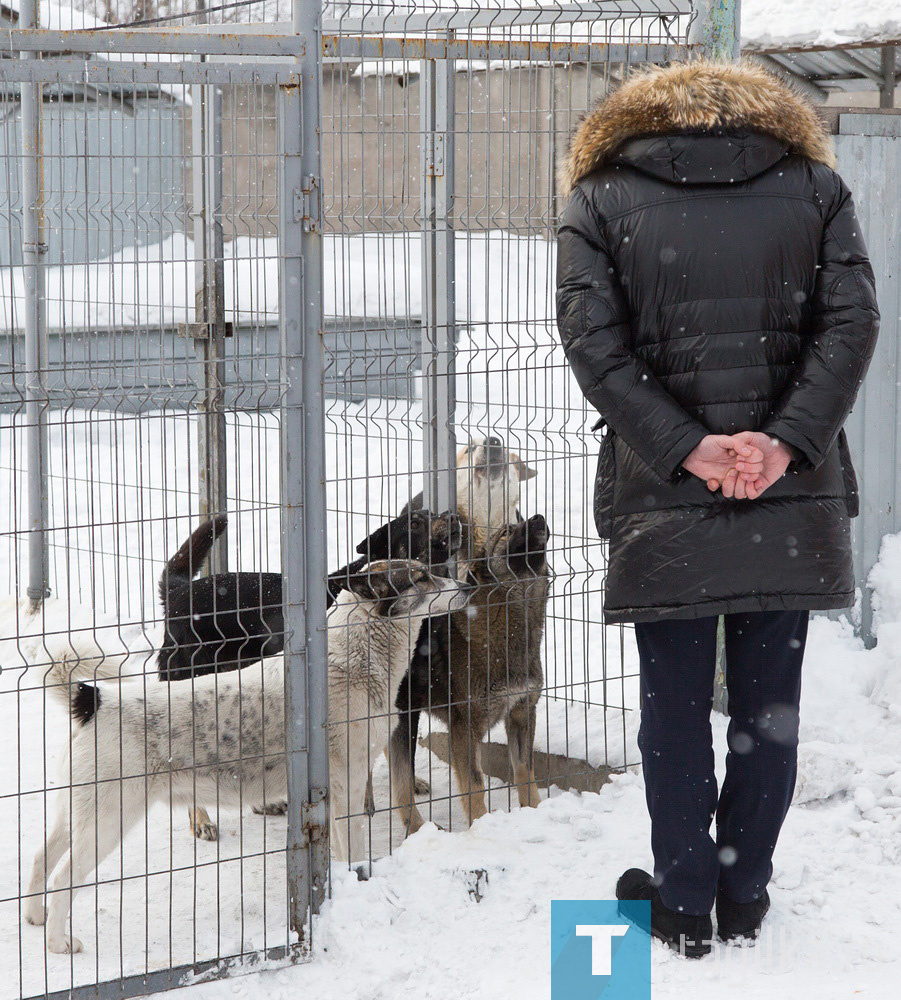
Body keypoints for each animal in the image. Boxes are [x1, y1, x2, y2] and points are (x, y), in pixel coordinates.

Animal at [24, 560, 468, 956]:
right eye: (421, 577)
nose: (467, 584)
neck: (355, 658)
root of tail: (93, 700)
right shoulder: (348, 786)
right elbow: (354, 851)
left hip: (77, 813)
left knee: (42, 856)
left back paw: (34, 916)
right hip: (107, 821)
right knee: (62, 879)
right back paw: (58, 943)